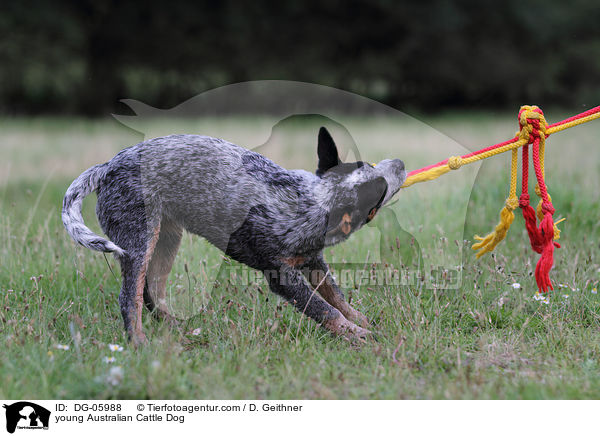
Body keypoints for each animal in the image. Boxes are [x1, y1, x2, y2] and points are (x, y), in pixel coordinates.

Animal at [61, 127, 406, 346]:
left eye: (368, 164)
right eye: (378, 191)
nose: (401, 162)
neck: (308, 203)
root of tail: (107, 167)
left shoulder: (312, 260)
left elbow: (336, 296)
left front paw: (360, 320)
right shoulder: (281, 276)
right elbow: (325, 309)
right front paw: (357, 335)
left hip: (166, 241)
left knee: (150, 293)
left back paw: (177, 329)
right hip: (138, 240)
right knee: (129, 298)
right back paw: (139, 343)